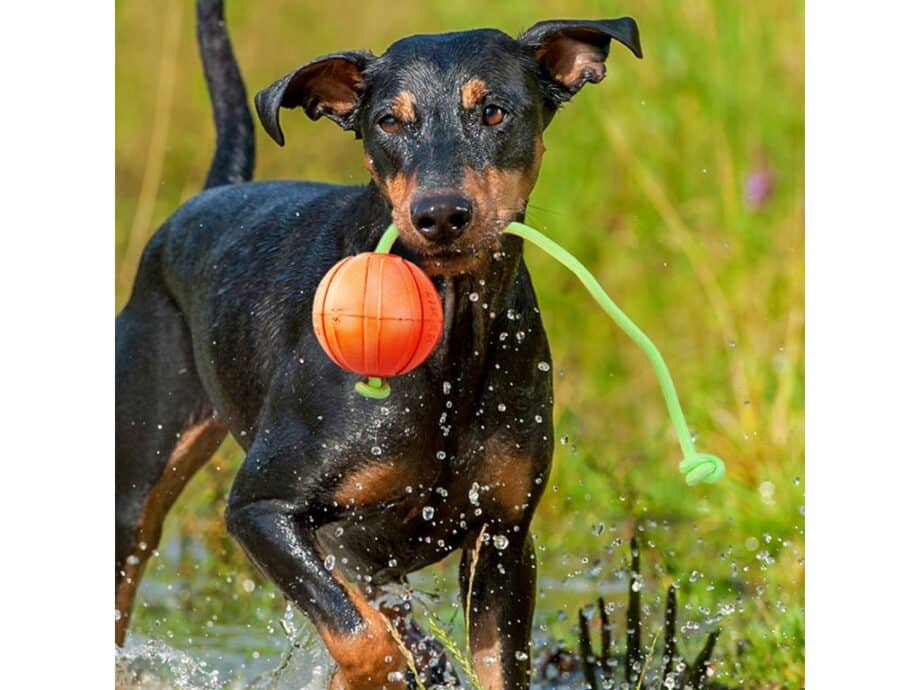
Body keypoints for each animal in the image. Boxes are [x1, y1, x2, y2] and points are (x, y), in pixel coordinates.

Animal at [117, 2, 640, 684]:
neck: (450, 336)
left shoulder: (503, 537)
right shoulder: (264, 509)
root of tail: (206, 195)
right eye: (389, 121)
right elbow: (370, 638)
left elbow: (481, 657)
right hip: (135, 489)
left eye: (494, 111)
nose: (440, 214)